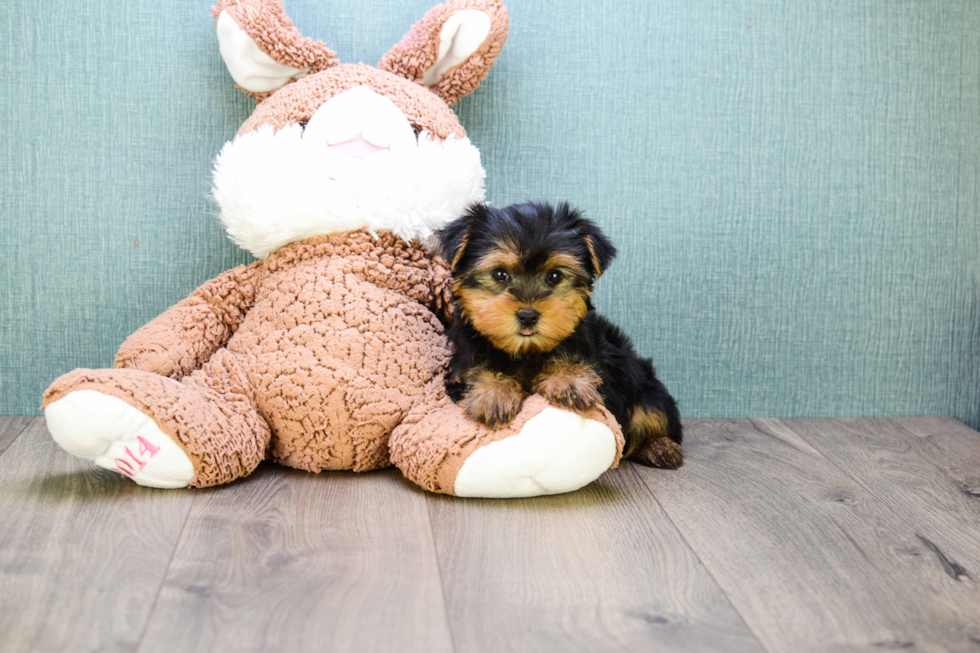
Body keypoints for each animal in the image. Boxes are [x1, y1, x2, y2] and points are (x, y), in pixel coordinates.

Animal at [440, 201, 684, 466]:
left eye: (555, 276)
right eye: (499, 274)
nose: (528, 315)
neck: (526, 352)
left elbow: (574, 360)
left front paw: (568, 380)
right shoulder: (461, 366)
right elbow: (477, 368)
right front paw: (493, 393)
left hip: (643, 388)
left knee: (652, 414)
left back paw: (660, 446)